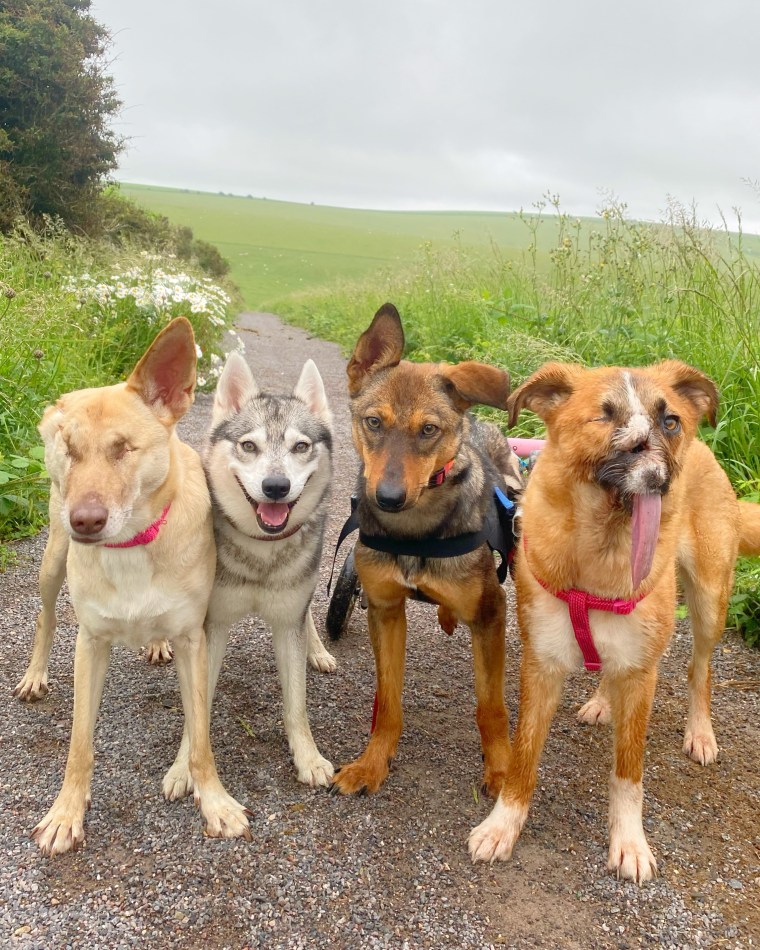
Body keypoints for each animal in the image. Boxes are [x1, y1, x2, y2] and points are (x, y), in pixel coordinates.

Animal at [166, 352, 336, 796]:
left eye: (300, 446)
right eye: (248, 445)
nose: (276, 486)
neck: (263, 550)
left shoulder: (288, 621)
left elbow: (296, 704)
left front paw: (308, 757)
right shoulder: (210, 627)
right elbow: (196, 712)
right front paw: (182, 768)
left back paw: (317, 650)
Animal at [332, 304, 524, 804]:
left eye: (429, 430)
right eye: (373, 422)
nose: (387, 498)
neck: (415, 531)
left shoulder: (491, 613)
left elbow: (491, 706)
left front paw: (501, 771)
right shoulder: (385, 609)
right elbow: (387, 700)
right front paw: (373, 763)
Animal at [466, 358, 760, 884]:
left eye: (670, 421)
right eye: (604, 416)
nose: (658, 472)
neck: (599, 557)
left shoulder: (642, 675)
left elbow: (628, 772)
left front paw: (629, 842)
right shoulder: (541, 667)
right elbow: (523, 757)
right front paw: (504, 824)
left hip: (710, 601)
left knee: (699, 669)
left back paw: (700, 732)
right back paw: (604, 700)